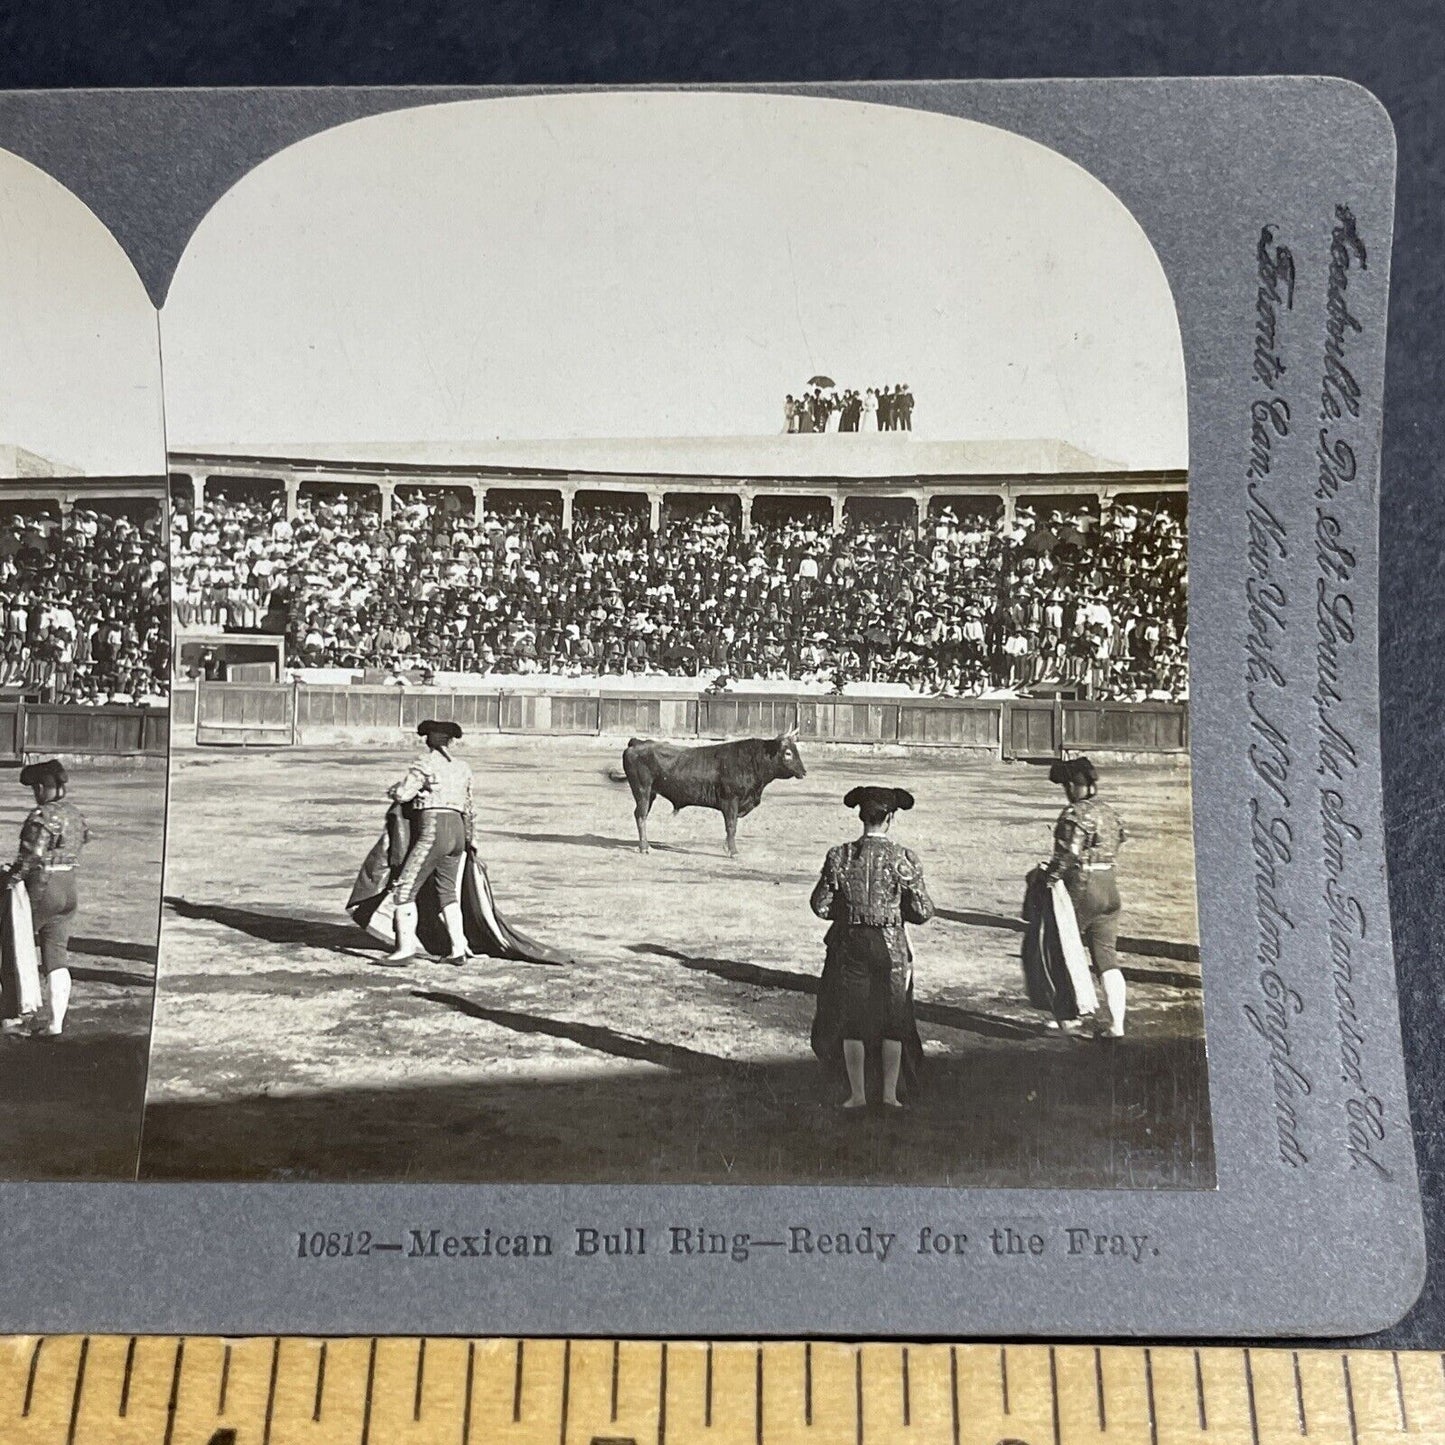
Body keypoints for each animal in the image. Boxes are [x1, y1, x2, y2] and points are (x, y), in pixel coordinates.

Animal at [615, 728, 809, 849]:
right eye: (788, 753)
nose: (804, 772)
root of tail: (637, 742)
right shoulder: (731, 800)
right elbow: (731, 825)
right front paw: (732, 851)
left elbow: (733, 825)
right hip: (642, 790)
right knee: (641, 815)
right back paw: (644, 847)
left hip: (650, 793)